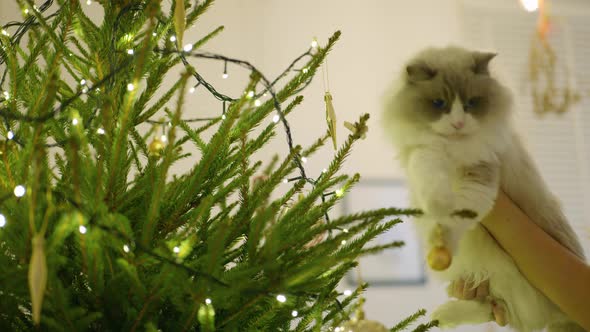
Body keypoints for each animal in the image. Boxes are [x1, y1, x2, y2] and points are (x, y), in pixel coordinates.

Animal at [384, 46, 588, 332]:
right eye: (439, 104)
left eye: (471, 103)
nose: (458, 124)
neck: (453, 149)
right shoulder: (425, 153)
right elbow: (431, 178)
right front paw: (437, 203)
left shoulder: (481, 175)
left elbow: (455, 218)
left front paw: (442, 232)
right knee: (492, 308)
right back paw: (443, 315)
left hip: (509, 276)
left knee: (509, 313)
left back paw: (443, 315)